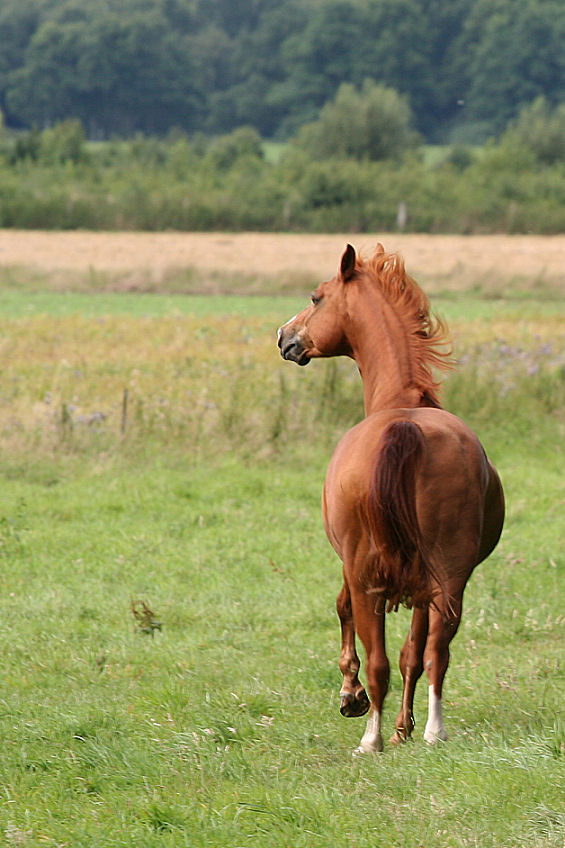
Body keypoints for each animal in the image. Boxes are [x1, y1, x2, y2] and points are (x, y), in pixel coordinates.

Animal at [278, 243, 502, 756]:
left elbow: (343, 613)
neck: (400, 400)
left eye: (316, 297)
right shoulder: (423, 586)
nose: (284, 336)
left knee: (379, 654)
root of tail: (405, 427)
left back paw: (371, 737)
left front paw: (352, 696)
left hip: (370, 578)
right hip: (448, 578)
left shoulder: (352, 567)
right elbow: (413, 655)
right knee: (436, 651)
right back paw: (432, 730)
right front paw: (406, 727)